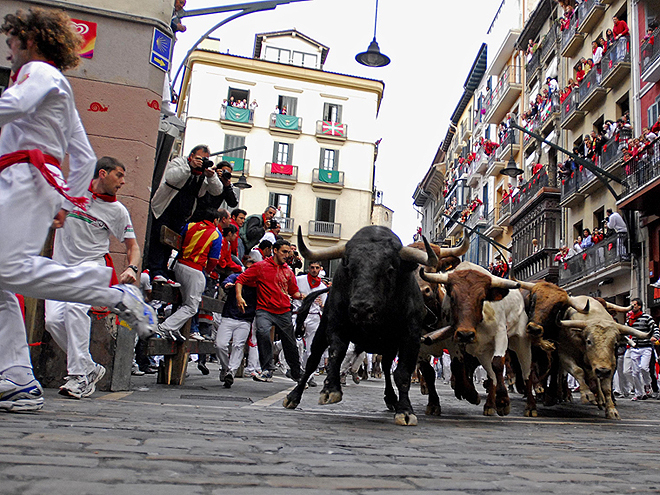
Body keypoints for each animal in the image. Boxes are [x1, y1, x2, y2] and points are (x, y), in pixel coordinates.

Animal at [282, 227, 438, 424]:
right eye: (348, 268)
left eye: (389, 269)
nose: (361, 309)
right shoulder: (335, 325)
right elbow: (336, 353)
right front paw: (330, 389)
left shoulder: (411, 337)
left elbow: (402, 373)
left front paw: (405, 411)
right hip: (321, 331)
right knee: (312, 360)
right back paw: (293, 396)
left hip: (388, 346)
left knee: (386, 366)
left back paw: (391, 398)